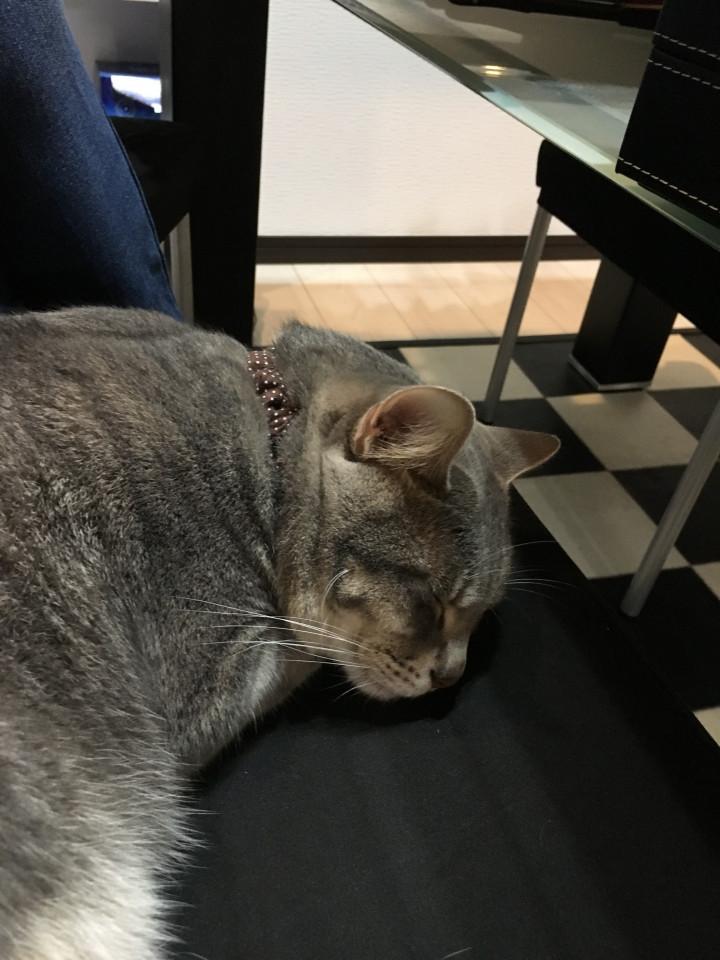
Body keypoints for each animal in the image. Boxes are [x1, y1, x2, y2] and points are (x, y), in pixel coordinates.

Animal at [0, 308, 558, 959]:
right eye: (434, 602)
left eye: (480, 615)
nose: (453, 676)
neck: (266, 453)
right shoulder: (210, 684)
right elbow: (310, 646)